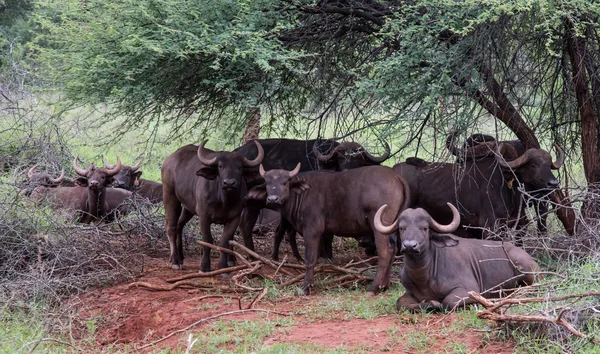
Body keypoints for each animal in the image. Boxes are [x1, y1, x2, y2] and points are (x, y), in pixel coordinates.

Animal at [162, 140, 262, 272]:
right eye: (220, 166)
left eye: (239, 167)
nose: (229, 183)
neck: (224, 201)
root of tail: (169, 160)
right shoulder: (204, 217)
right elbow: (207, 241)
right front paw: (204, 267)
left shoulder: (234, 218)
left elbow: (224, 242)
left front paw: (223, 266)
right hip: (170, 196)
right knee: (171, 227)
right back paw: (175, 261)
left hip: (189, 207)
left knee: (179, 225)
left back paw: (181, 257)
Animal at [246, 164, 410, 296]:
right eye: (267, 183)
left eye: (285, 182)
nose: (272, 199)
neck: (302, 194)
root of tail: (396, 177)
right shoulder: (321, 233)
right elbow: (319, 257)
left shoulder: (312, 230)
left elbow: (310, 258)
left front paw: (306, 288)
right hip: (391, 227)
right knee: (393, 250)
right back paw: (384, 286)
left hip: (378, 225)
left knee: (384, 252)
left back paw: (373, 288)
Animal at [372, 203, 536, 312]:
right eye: (401, 228)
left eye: (424, 228)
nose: (410, 246)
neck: (424, 277)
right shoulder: (410, 294)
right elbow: (400, 303)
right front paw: (431, 304)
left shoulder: (468, 289)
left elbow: (448, 302)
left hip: (525, 270)